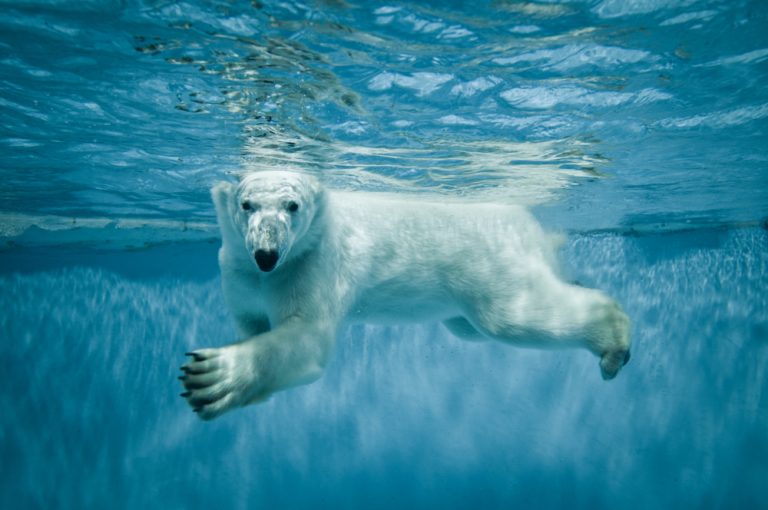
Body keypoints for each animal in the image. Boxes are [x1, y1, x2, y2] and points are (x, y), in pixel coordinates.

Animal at [180, 170, 631, 420]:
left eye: (292, 205)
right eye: (246, 204)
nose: (267, 254)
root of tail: (531, 225)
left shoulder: (312, 263)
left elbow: (307, 338)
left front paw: (211, 376)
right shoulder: (237, 273)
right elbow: (252, 322)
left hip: (487, 263)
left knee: (510, 317)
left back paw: (613, 340)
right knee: (470, 327)